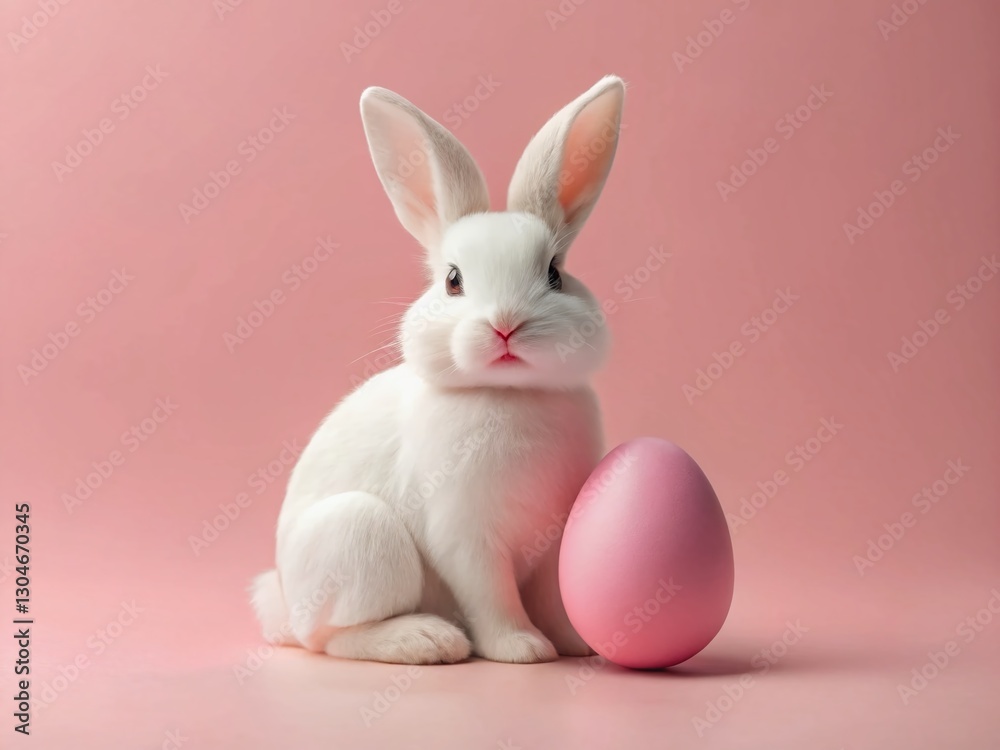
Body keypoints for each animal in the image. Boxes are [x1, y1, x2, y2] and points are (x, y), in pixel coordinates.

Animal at [250, 75, 626, 665]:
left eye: (554, 274)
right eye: (453, 280)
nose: (505, 325)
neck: (508, 395)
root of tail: (284, 601)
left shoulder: (554, 538)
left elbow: (551, 595)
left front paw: (574, 643)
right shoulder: (465, 538)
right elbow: (491, 596)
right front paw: (523, 648)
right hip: (363, 539)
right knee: (332, 639)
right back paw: (427, 639)